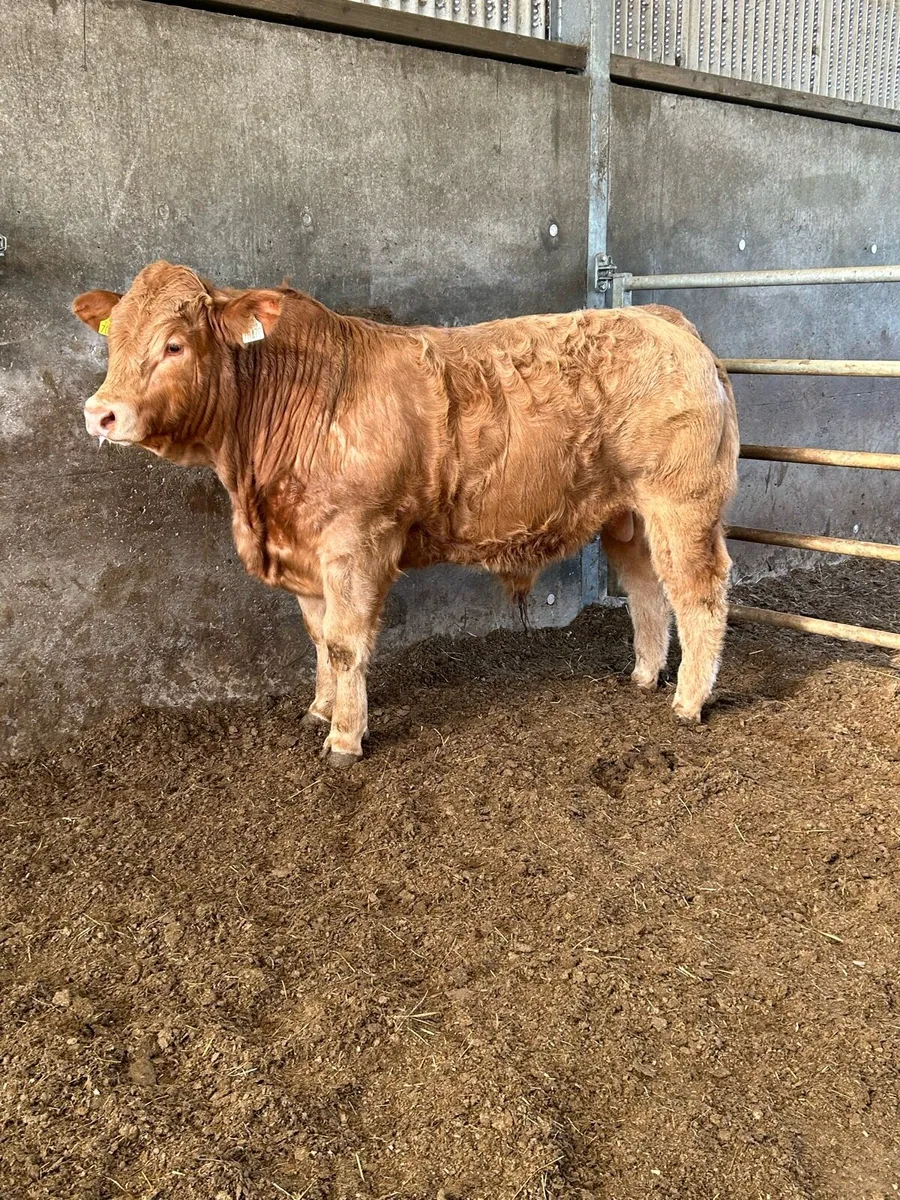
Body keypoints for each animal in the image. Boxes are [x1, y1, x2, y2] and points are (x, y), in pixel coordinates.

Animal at [73, 262, 738, 766]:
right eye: (113, 339)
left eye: (174, 344)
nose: (100, 412)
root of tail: (662, 318)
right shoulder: (305, 552)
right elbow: (319, 638)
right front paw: (319, 709)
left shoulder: (355, 542)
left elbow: (346, 643)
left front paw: (344, 738)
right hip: (629, 514)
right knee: (648, 587)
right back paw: (645, 676)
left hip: (681, 502)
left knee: (699, 594)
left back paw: (688, 702)